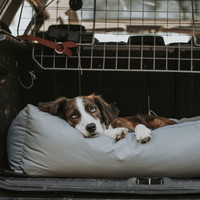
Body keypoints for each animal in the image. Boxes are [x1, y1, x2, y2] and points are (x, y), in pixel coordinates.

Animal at [38, 94, 176, 143]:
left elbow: (137, 125)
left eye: (93, 109)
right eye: (74, 116)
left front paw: (142, 133)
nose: (91, 127)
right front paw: (116, 132)